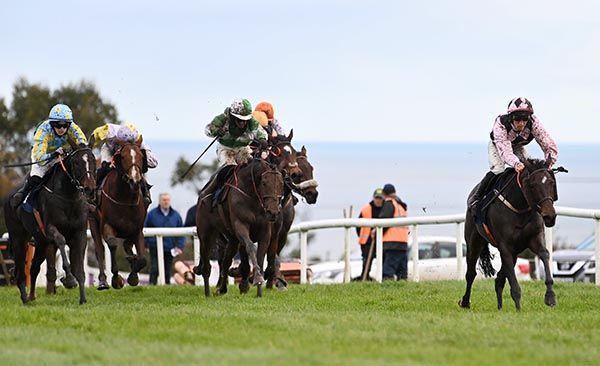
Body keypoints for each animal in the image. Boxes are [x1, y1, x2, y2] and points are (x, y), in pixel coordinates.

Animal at [89, 137, 148, 288]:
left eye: (141, 156)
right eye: (122, 156)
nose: (135, 180)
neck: (125, 199)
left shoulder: (137, 229)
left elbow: (142, 259)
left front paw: (133, 276)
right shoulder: (107, 226)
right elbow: (112, 244)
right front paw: (116, 279)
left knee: (127, 244)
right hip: (92, 221)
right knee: (99, 250)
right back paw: (103, 281)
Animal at [195, 157, 284, 298]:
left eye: (281, 184)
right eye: (264, 183)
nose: (273, 212)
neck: (252, 197)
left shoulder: (265, 233)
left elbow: (260, 256)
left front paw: (258, 289)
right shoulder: (241, 227)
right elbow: (251, 247)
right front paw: (257, 278)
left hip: (232, 240)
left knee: (226, 261)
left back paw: (222, 288)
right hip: (205, 235)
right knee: (206, 266)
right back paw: (208, 292)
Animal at [462, 159, 564, 310]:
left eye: (551, 182)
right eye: (533, 185)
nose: (549, 216)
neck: (520, 209)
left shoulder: (535, 238)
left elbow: (544, 254)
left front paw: (550, 296)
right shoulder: (505, 247)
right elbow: (513, 282)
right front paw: (519, 308)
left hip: (515, 252)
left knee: (499, 278)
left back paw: (499, 307)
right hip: (474, 243)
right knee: (471, 274)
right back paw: (465, 302)